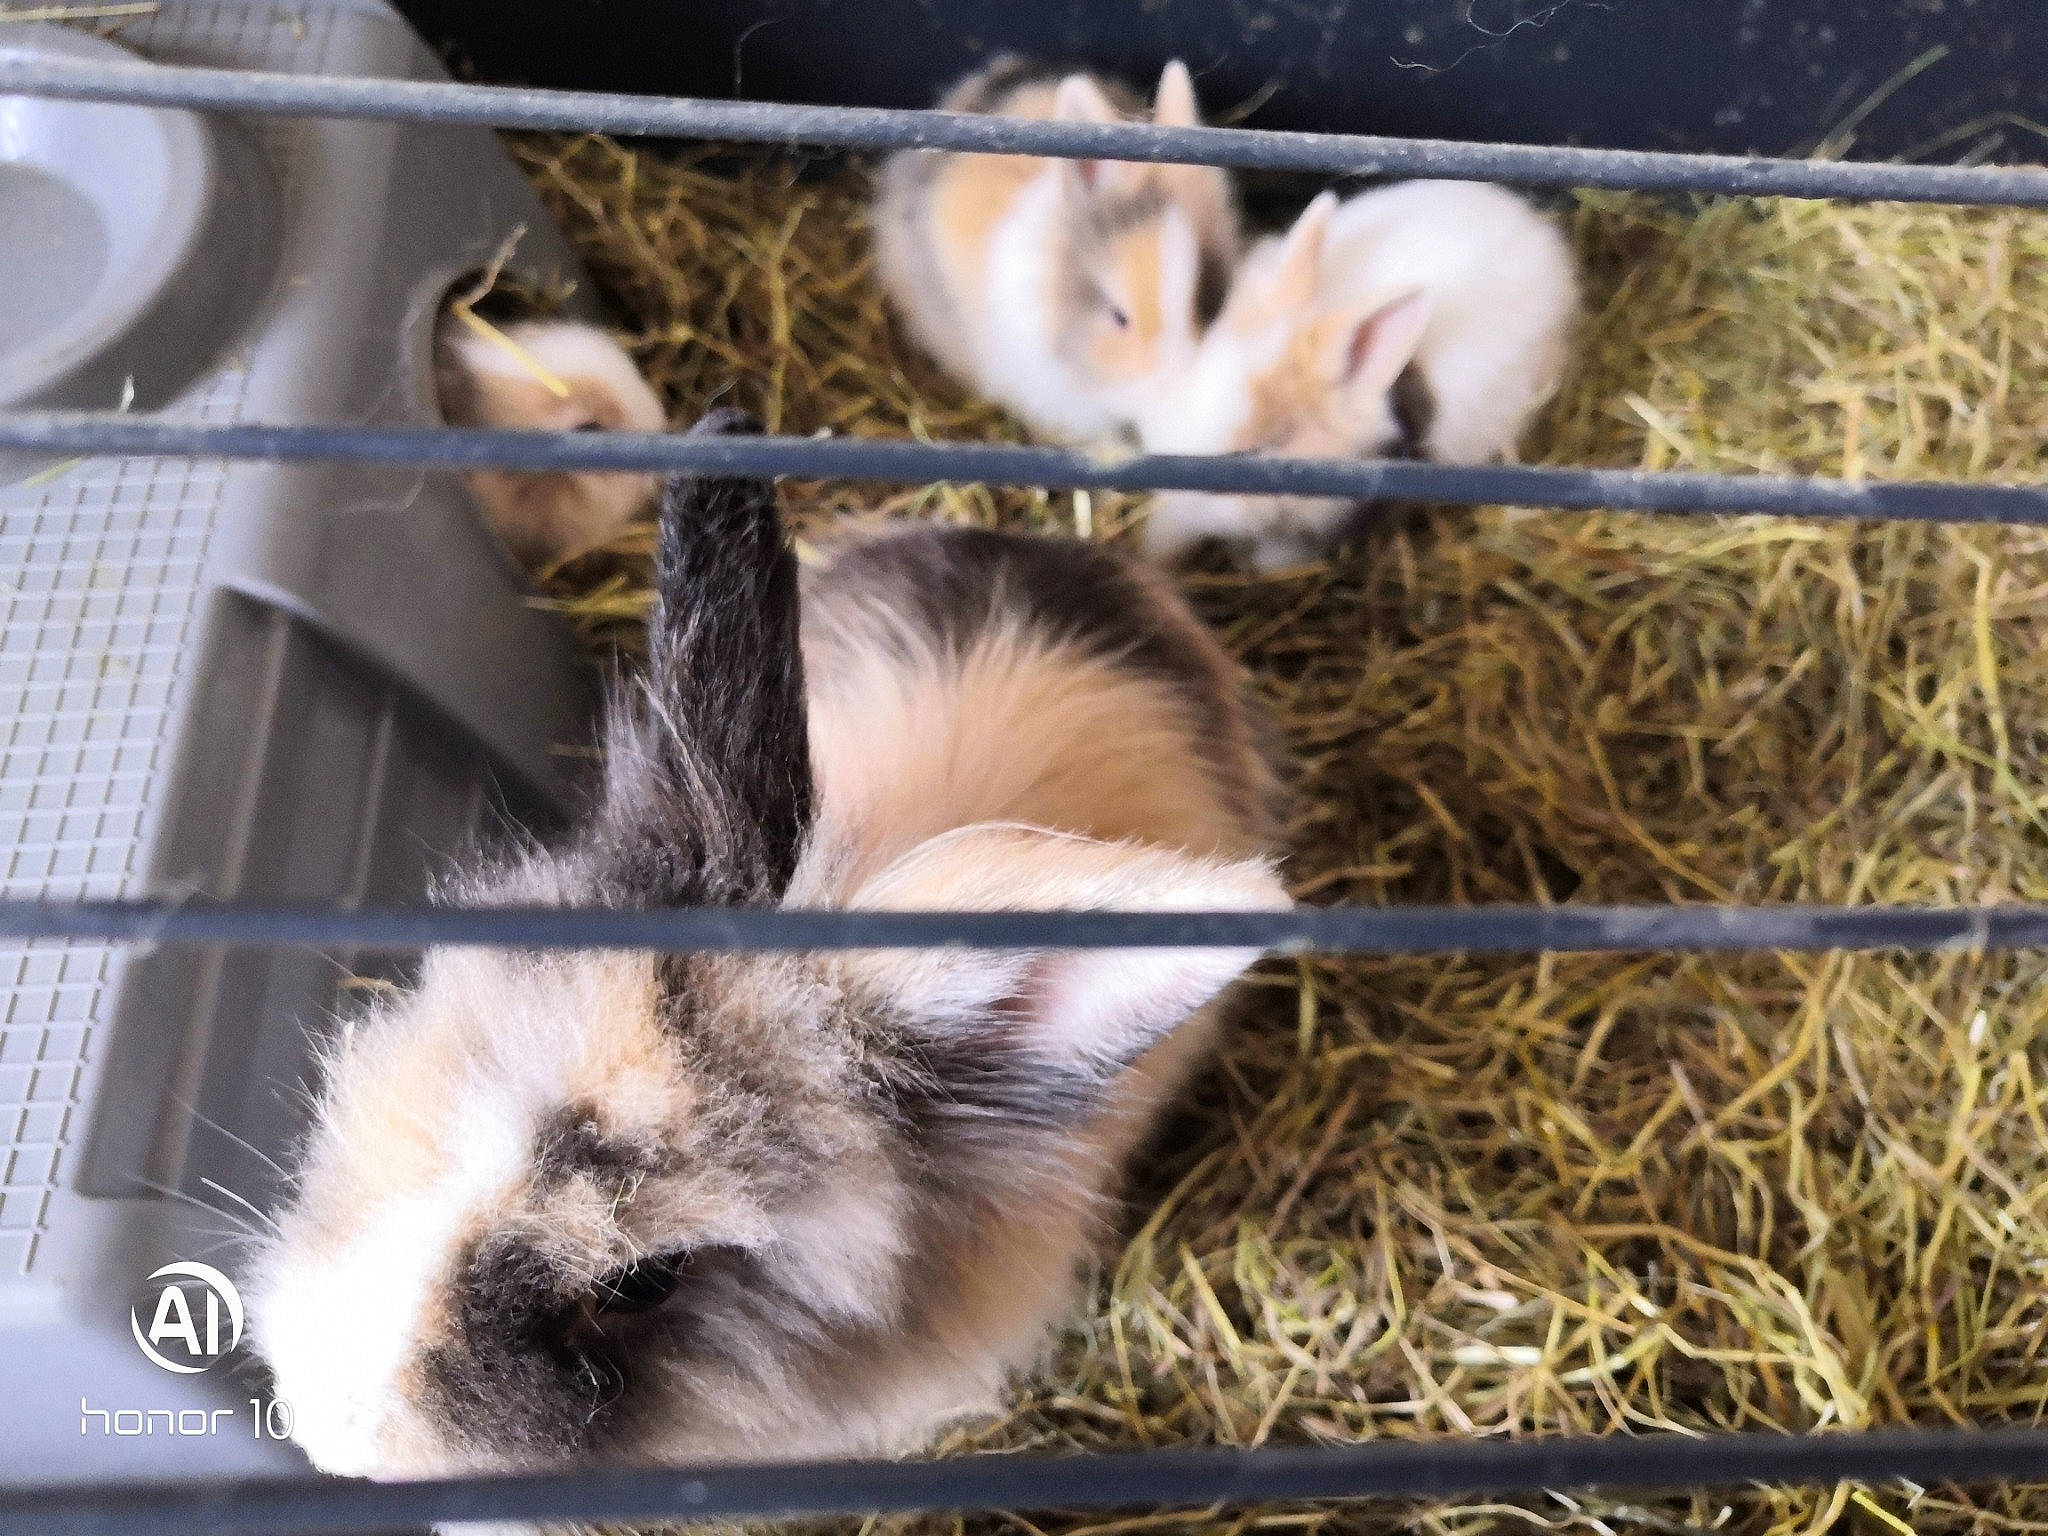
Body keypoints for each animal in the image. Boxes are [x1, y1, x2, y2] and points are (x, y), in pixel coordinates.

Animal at [1137, 180, 1579, 571]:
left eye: (1264, 447)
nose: (1168, 487)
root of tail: (1541, 233)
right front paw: (1155, 553)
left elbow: (1283, 553)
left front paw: (1258, 565)